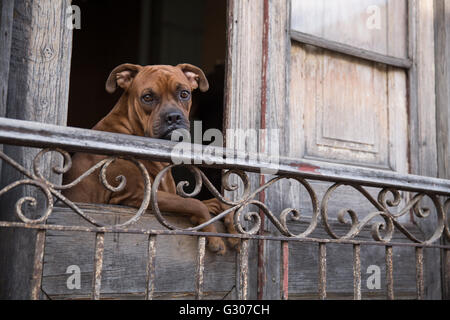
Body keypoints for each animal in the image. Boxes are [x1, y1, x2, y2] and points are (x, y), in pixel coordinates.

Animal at [63, 63, 241, 255]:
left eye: (184, 94)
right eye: (147, 97)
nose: (173, 116)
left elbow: (214, 202)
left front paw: (231, 225)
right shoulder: (141, 195)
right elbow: (195, 203)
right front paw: (215, 238)